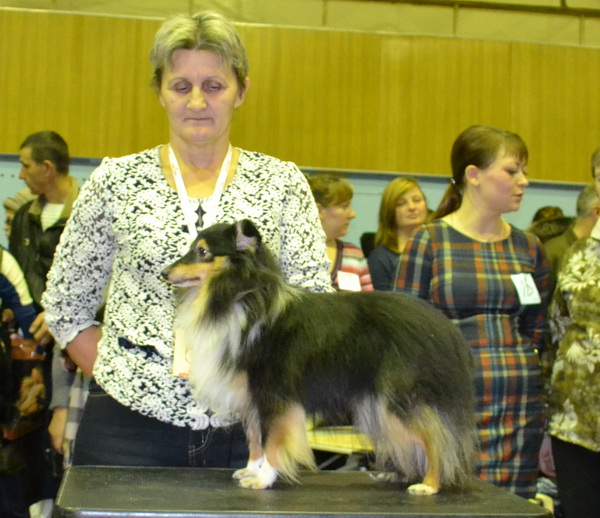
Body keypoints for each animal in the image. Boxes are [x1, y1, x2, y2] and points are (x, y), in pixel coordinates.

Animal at [163, 219, 477, 495]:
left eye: (203, 252)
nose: (165, 273)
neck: (241, 299)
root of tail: (444, 328)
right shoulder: (252, 397)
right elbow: (255, 438)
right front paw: (251, 470)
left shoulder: (275, 395)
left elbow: (272, 440)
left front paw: (263, 479)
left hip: (400, 398)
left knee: (436, 438)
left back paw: (429, 484)